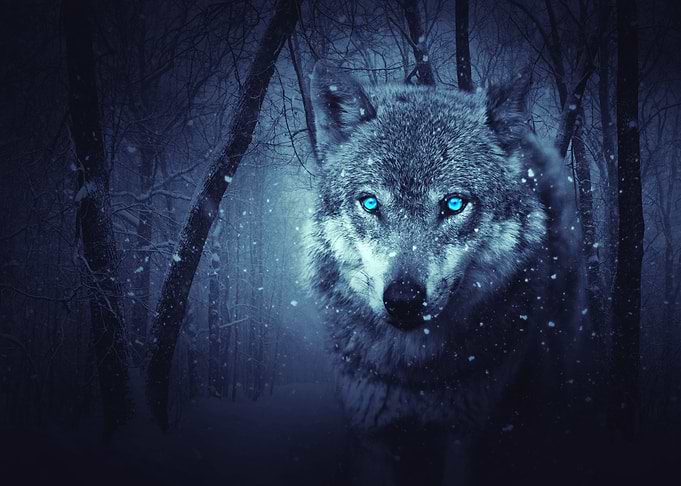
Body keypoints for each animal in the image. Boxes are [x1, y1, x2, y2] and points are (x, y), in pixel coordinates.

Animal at [305, 62, 586, 485]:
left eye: (454, 204)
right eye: (370, 203)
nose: (403, 300)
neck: (415, 373)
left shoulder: (465, 435)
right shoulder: (372, 435)